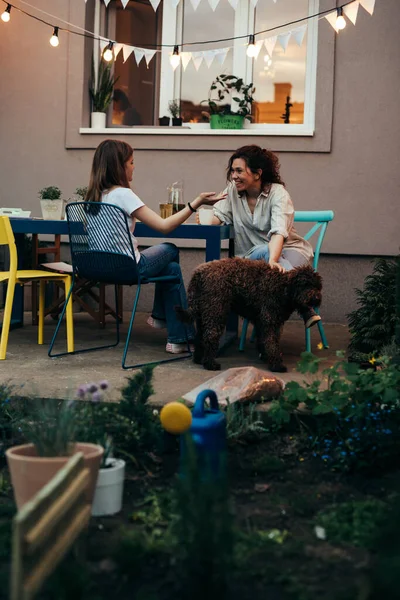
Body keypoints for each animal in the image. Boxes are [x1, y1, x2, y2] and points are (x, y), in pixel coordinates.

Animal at [175, 256, 322, 370]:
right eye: (305, 284)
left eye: (317, 286)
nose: (316, 298)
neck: (283, 287)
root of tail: (199, 272)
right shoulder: (270, 322)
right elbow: (272, 343)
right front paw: (276, 365)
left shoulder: (262, 322)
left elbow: (263, 341)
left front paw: (265, 357)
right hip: (216, 312)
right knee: (210, 337)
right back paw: (210, 364)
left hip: (204, 313)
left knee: (200, 337)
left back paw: (199, 359)